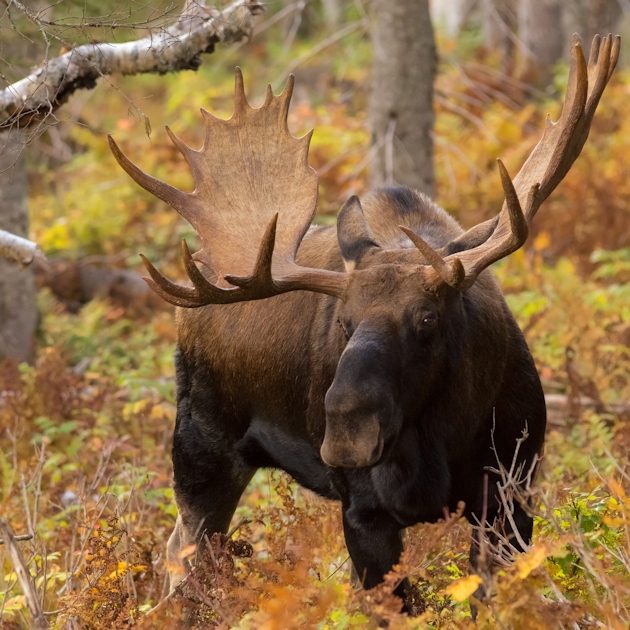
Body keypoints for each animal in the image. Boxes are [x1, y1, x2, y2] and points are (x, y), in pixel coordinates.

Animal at [108, 34, 624, 608]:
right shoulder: (364, 512)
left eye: (427, 318)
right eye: (344, 323)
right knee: (181, 554)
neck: (438, 443)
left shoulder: (511, 493)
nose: (347, 431)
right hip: (201, 449)